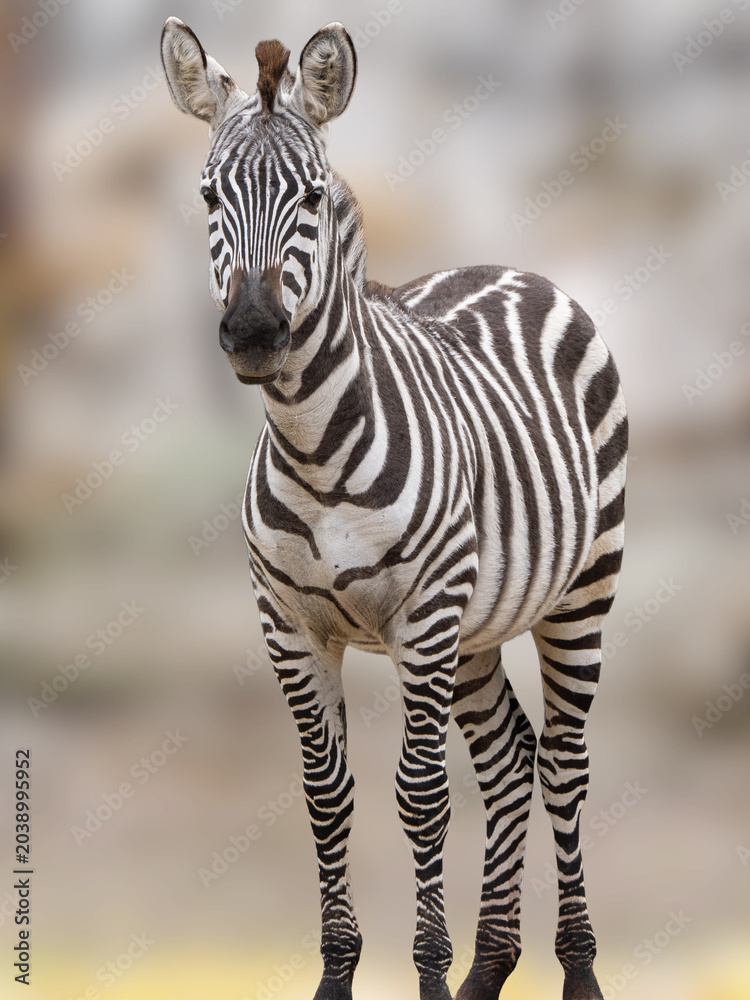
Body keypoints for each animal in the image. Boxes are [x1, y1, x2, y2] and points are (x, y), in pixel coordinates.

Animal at [161, 18, 627, 1000]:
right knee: (509, 760)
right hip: (481, 626)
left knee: (564, 764)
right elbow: (327, 797)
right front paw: (341, 976)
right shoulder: (289, 626)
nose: (253, 335)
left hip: (580, 592)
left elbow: (421, 795)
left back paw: (577, 969)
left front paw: (428, 973)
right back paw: (491, 970)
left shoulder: (424, 616)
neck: (313, 445)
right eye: (210, 195)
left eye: (309, 196)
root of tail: (509, 266)